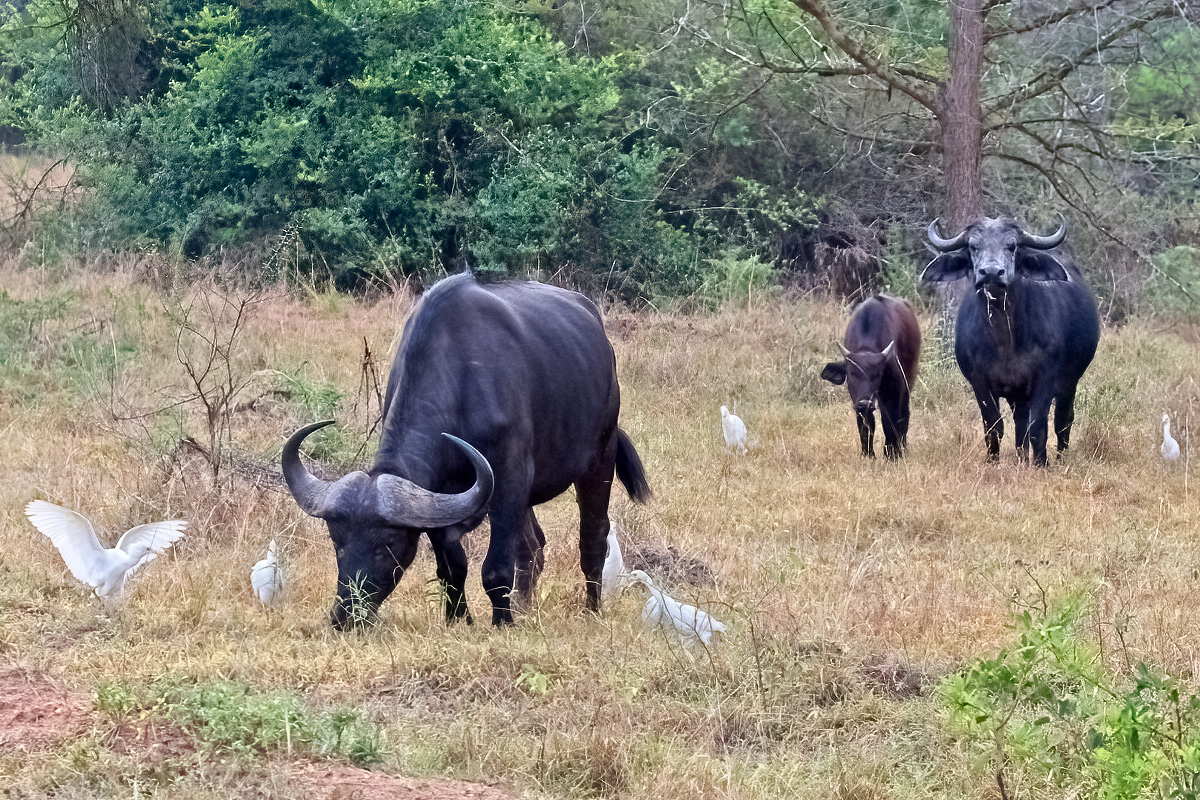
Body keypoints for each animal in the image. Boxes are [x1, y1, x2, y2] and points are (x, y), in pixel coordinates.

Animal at [282, 272, 652, 628]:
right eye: (337, 541)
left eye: (388, 544)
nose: (345, 615)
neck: (461, 379)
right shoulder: (438, 496)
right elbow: (452, 565)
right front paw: (457, 616)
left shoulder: (510, 477)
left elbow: (495, 566)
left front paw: (502, 622)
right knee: (533, 545)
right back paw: (525, 608)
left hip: (599, 458)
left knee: (593, 538)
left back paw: (590, 610)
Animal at [820, 296, 921, 460]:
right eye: (852, 373)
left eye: (878, 374)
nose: (865, 402)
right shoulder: (857, 399)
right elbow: (866, 425)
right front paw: (868, 455)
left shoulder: (893, 392)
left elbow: (890, 421)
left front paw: (892, 454)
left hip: (907, 385)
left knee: (904, 415)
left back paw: (903, 448)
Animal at [921, 217, 1099, 470]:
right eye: (973, 246)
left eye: (1012, 246)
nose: (991, 272)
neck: (1005, 342)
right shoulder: (979, 382)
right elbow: (994, 426)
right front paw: (992, 461)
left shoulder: (1045, 379)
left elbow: (1038, 427)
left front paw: (1042, 464)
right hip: (1019, 396)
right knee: (1020, 423)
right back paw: (1022, 458)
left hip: (1069, 382)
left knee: (1063, 420)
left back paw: (1059, 458)